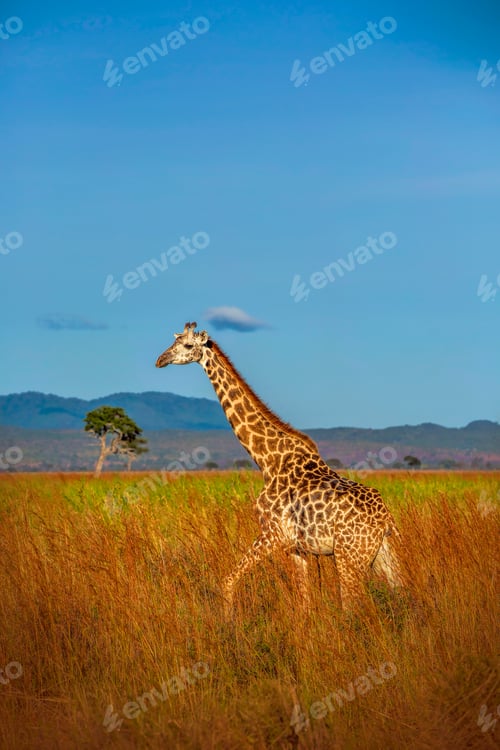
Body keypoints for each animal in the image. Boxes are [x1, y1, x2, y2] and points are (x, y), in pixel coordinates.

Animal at [155, 322, 403, 613]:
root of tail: (385, 519)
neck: (268, 460)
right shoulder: (297, 548)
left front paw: (228, 621)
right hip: (380, 553)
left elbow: (227, 581)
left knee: (352, 605)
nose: (160, 360)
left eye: (186, 345)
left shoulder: (272, 534)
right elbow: (304, 600)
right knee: (399, 592)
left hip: (349, 556)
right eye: (173, 341)